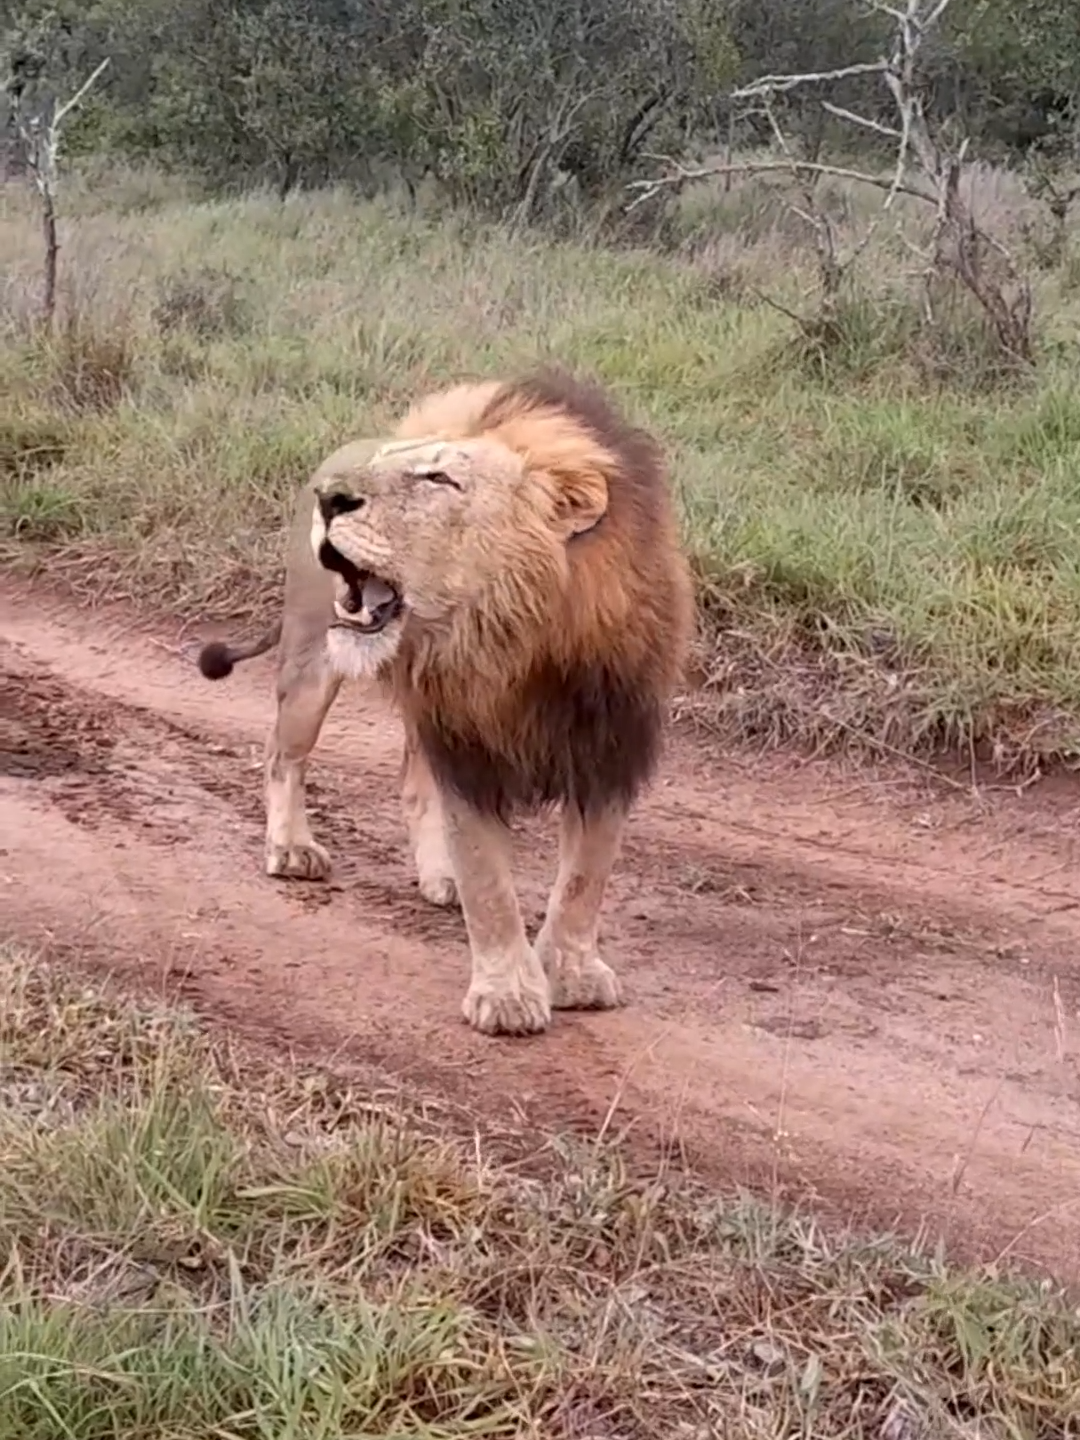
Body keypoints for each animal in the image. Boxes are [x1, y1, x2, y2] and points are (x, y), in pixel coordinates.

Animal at [196, 368, 694, 1037]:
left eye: (439, 478)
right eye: (387, 464)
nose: (329, 499)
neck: (514, 643)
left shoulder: (608, 747)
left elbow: (586, 875)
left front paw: (572, 975)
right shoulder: (467, 744)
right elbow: (488, 880)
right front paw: (507, 996)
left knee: (412, 780)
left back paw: (438, 873)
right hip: (312, 660)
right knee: (283, 753)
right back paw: (291, 848)